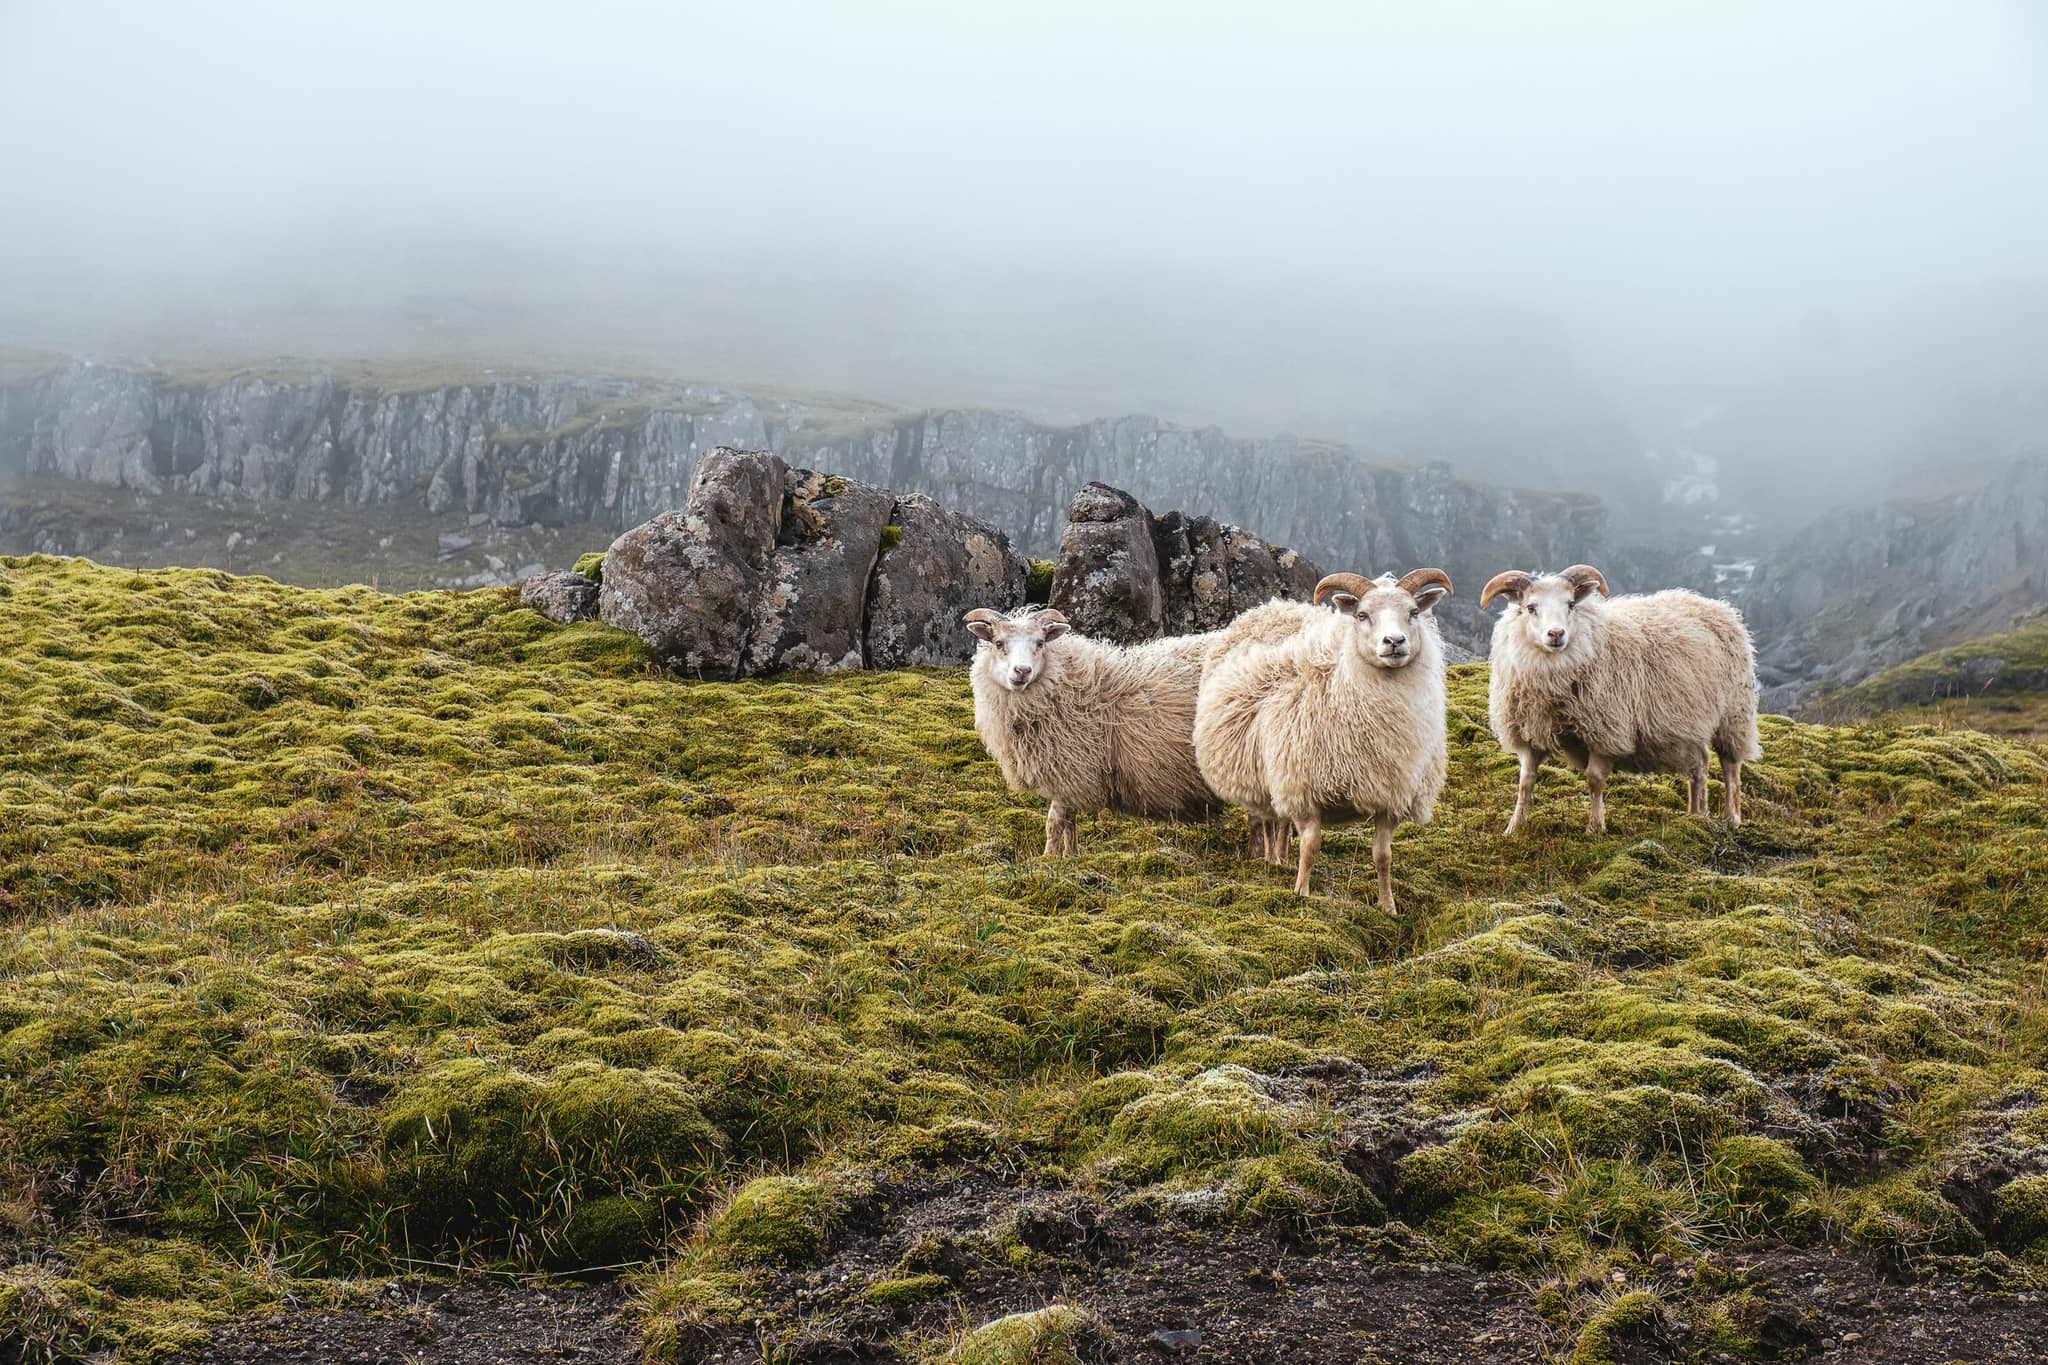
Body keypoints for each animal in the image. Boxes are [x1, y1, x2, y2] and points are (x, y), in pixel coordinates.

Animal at [964, 606, 1229, 855]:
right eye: (999, 643)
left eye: (1040, 643)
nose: (1022, 671)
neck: (1064, 683)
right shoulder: (1071, 775)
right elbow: (1069, 821)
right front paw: (1071, 855)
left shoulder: (1071, 767)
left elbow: (1054, 821)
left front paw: (1047, 857)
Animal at [1193, 569, 1453, 912]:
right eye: (1362, 615)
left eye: (1413, 612)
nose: (1395, 642)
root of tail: (1273, 606)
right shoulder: (1305, 789)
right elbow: (1311, 846)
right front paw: (1301, 893)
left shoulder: (1390, 796)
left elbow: (1383, 856)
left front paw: (1388, 906)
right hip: (1263, 773)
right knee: (1267, 819)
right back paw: (1271, 859)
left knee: (1281, 821)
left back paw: (1282, 858)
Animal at [1479, 565, 1761, 836]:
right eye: (1530, 608)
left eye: (1570, 604)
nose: (1556, 634)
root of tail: (1718, 606)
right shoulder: (1530, 730)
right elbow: (1525, 781)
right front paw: (1513, 827)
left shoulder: (1606, 731)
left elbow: (1594, 779)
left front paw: (1594, 828)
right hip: (1691, 725)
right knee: (1700, 767)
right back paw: (1696, 815)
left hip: (1734, 714)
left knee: (1730, 766)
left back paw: (1731, 818)